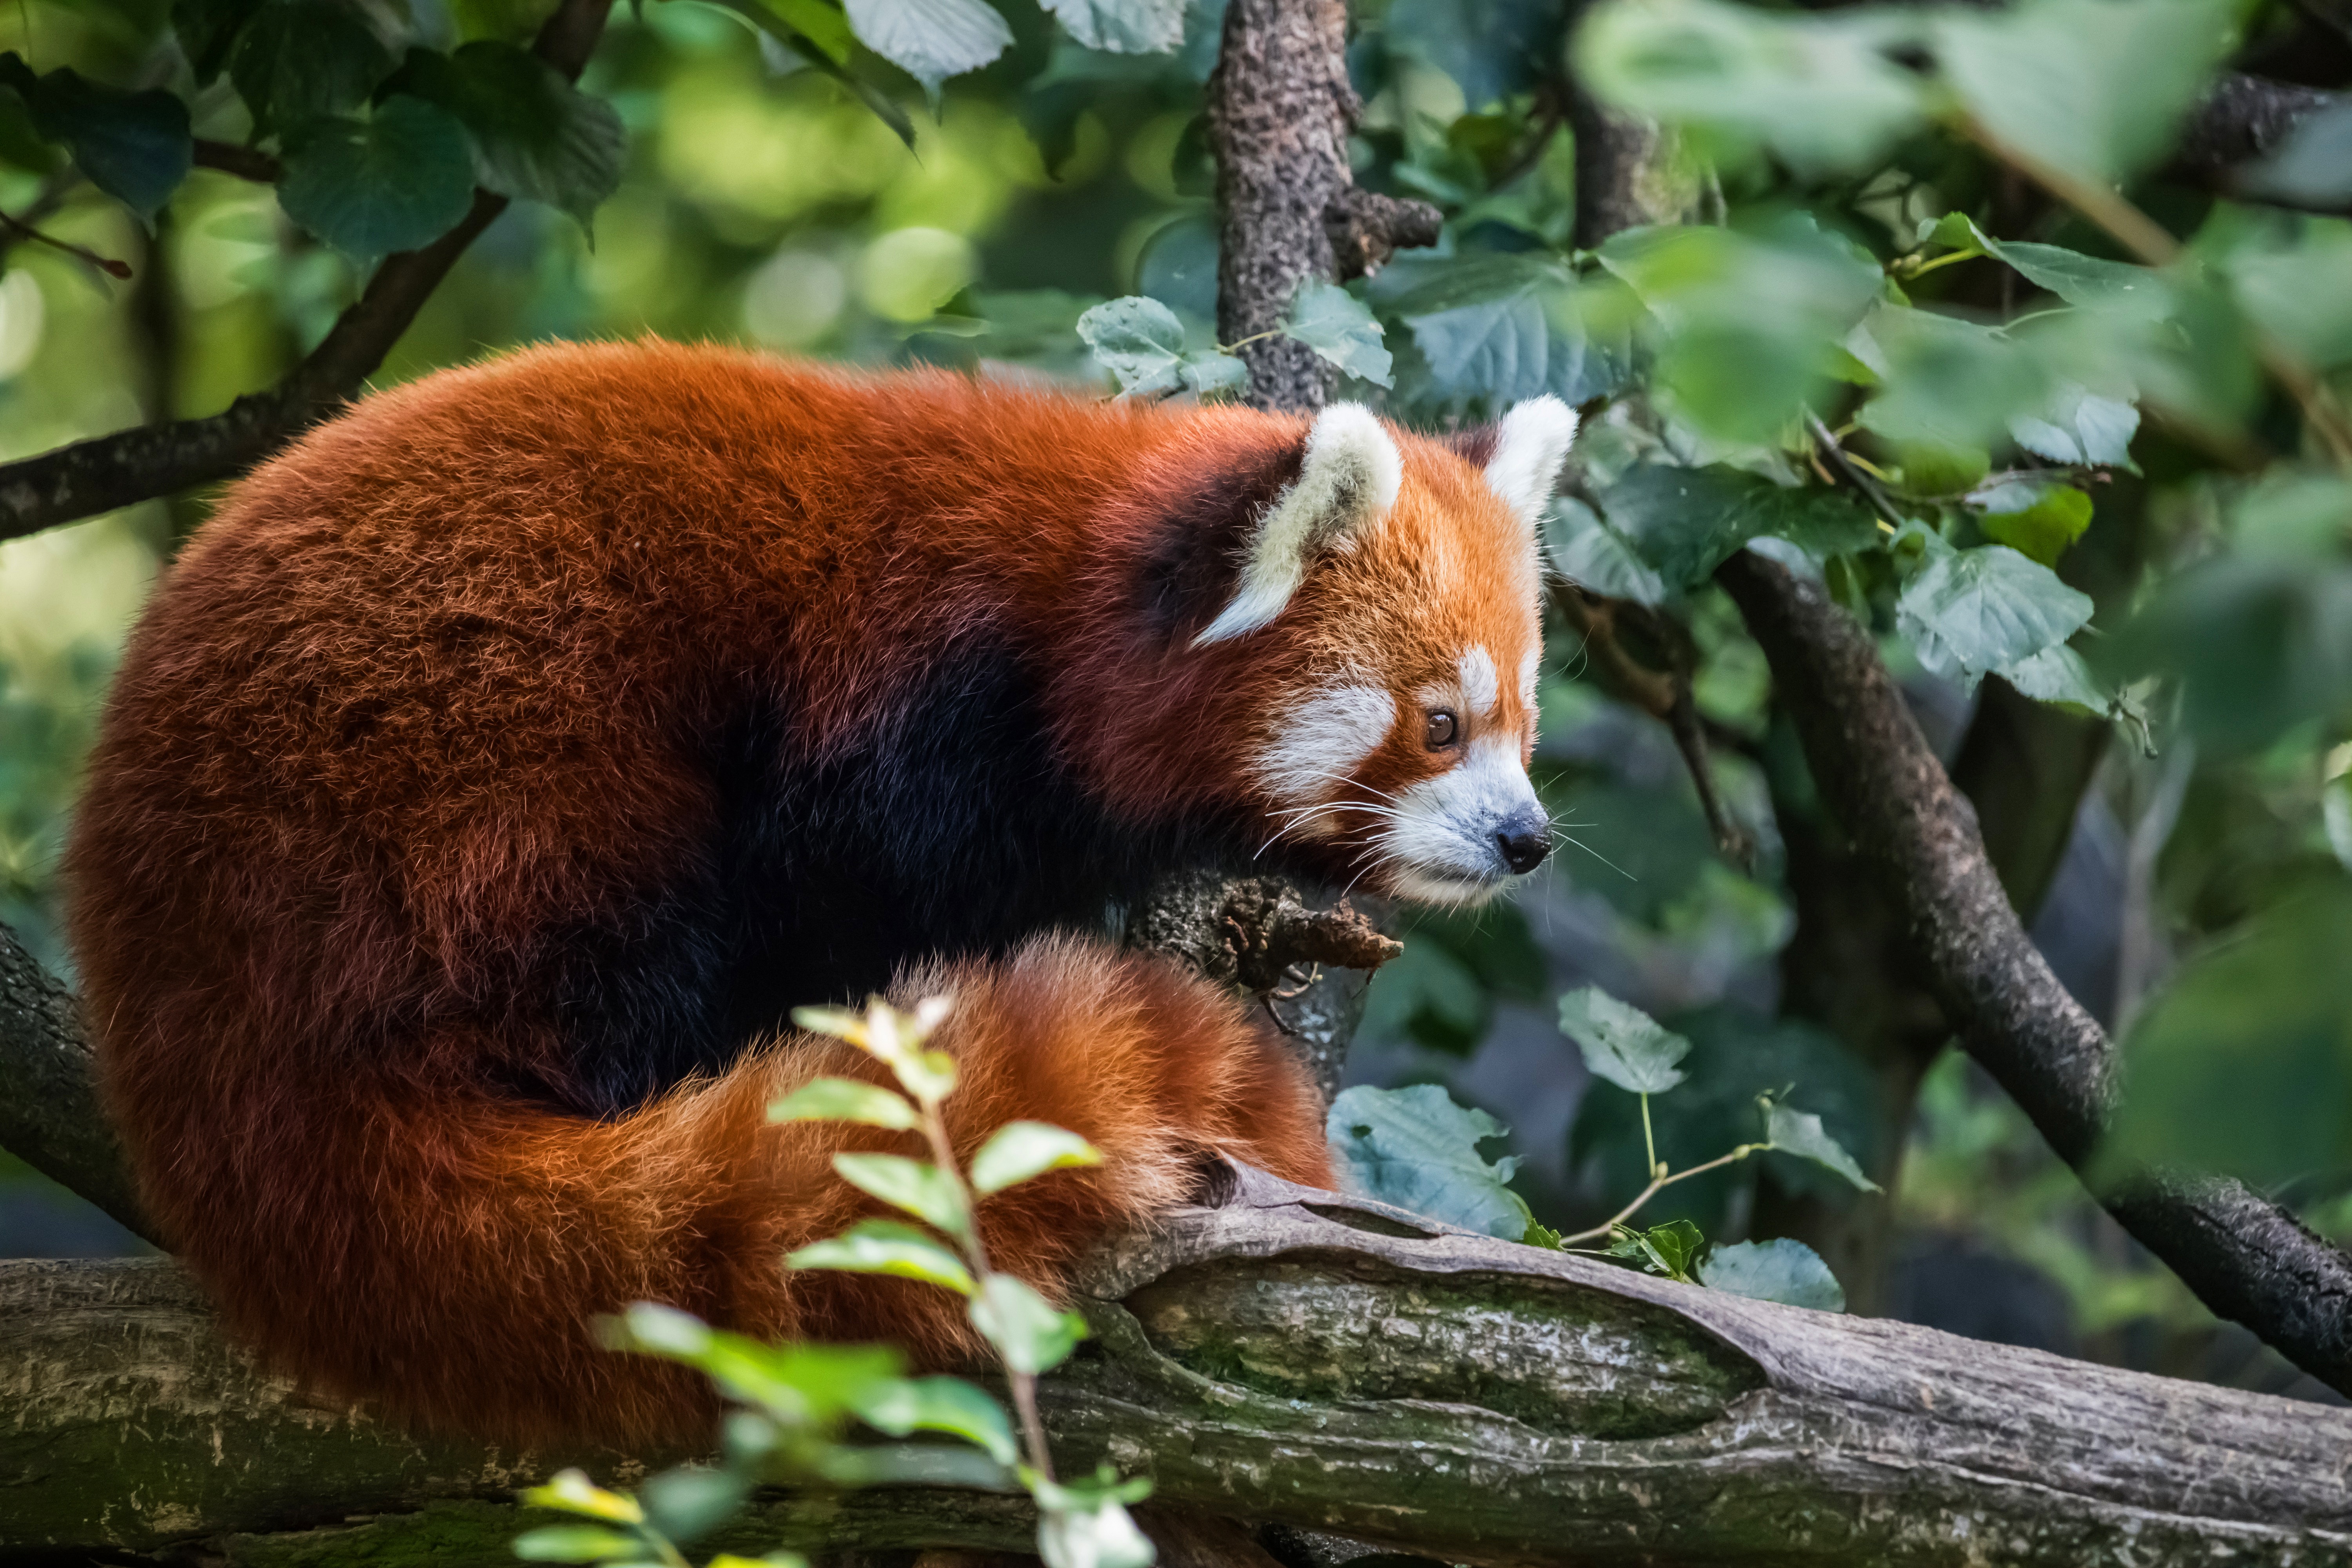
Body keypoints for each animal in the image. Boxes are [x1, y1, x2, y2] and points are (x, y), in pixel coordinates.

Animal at [64, 341, 1581, 1448]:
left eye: (1526, 721)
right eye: (1438, 724)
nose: (1526, 839)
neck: (1060, 619)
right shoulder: (894, 727)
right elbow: (841, 901)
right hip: (475, 787)